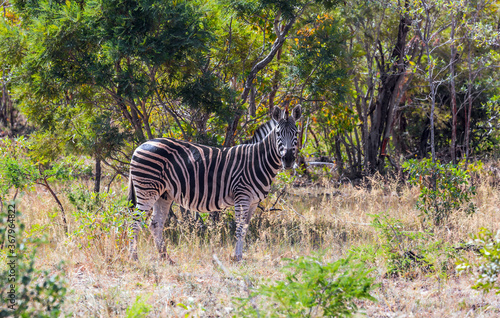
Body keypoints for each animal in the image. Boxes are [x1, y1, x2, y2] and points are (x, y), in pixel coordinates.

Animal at [128, 105, 300, 262]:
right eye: (278, 133)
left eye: (296, 133)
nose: (288, 159)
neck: (258, 161)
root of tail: (139, 146)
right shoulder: (242, 197)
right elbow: (239, 228)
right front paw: (237, 257)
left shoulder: (253, 202)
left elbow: (245, 228)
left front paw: (240, 256)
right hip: (147, 189)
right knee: (135, 222)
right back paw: (134, 258)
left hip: (163, 194)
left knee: (155, 224)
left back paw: (166, 258)